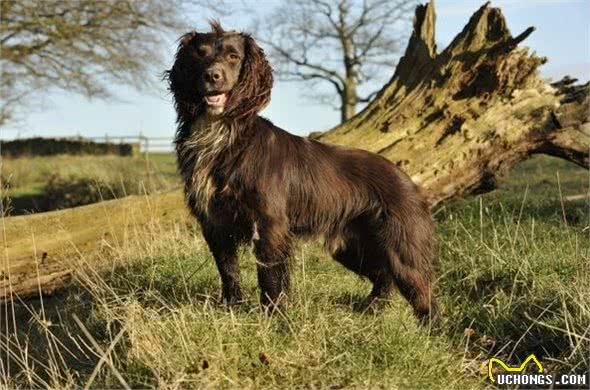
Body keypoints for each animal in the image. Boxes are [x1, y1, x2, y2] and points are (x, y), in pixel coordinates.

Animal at [166, 20, 440, 320]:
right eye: (199, 54)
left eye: (233, 56)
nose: (212, 76)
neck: (221, 133)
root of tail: (408, 180)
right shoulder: (214, 224)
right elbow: (228, 272)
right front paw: (232, 309)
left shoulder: (270, 224)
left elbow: (270, 277)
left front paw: (274, 316)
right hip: (350, 247)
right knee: (383, 276)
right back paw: (370, 310)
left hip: (402, 247)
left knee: (424, 295)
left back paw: (431, 328)